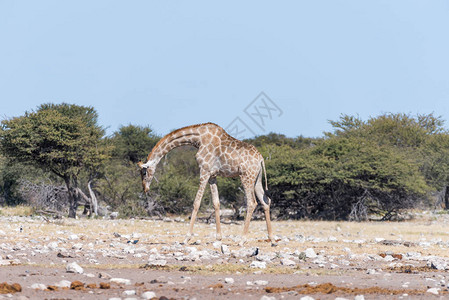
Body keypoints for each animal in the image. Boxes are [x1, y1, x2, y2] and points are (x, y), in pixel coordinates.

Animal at [136, 123, 272, 245]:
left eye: (144, 172)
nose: (145, 188)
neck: (198, 138)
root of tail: (261, 159)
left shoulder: (204, 171)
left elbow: (196, 203)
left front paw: (187, 238)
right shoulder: (212, 175)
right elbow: (216, 203)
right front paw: (218, 237)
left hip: (246, 177)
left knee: (252, 202)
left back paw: (242, 239)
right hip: (256, 178)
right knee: (266, 201)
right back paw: (271, 238)